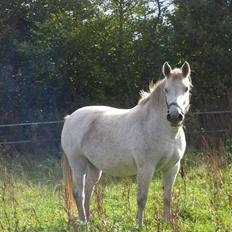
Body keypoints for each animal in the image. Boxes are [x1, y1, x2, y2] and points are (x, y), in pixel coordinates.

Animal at [61, 61, 192, 227]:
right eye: (166, 89)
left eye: (186, 88)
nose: (175, 116)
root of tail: (70, 118)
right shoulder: (146, 169)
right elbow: (142, 198)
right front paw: (139, 225)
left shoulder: (172, 168)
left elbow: (167, 197)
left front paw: (167, 224)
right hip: (78, 165)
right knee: (79, 193)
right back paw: (84, 224)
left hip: (94, 168)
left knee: (88, 193)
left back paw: (90, 222)